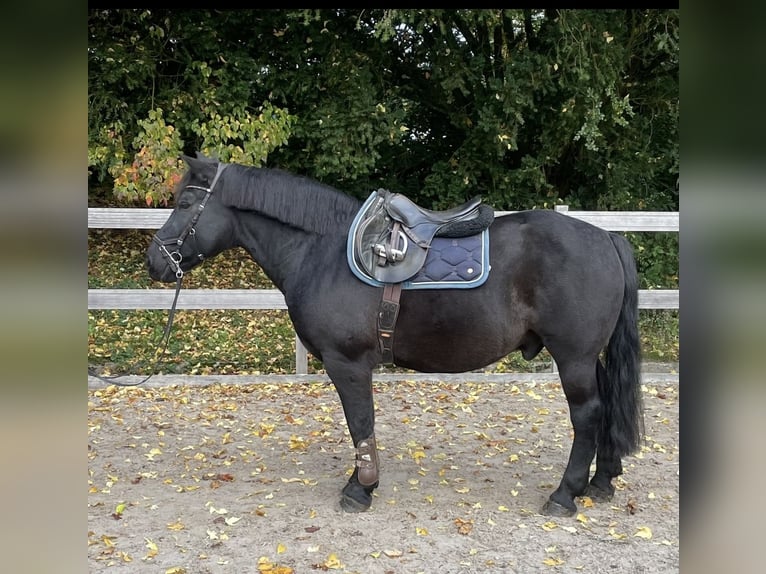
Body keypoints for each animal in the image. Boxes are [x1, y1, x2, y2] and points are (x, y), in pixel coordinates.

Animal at [146, 153, 644, 517]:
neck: (323, 251)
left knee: (587, 414)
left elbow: (360, 423)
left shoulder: (347, 364)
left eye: (185, 205)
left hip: (573, 357)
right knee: (606, 406)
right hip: (589, 357)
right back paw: (601, 481)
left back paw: (565, 494)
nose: (155, 262)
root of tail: (607, 238)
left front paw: (360, 488)